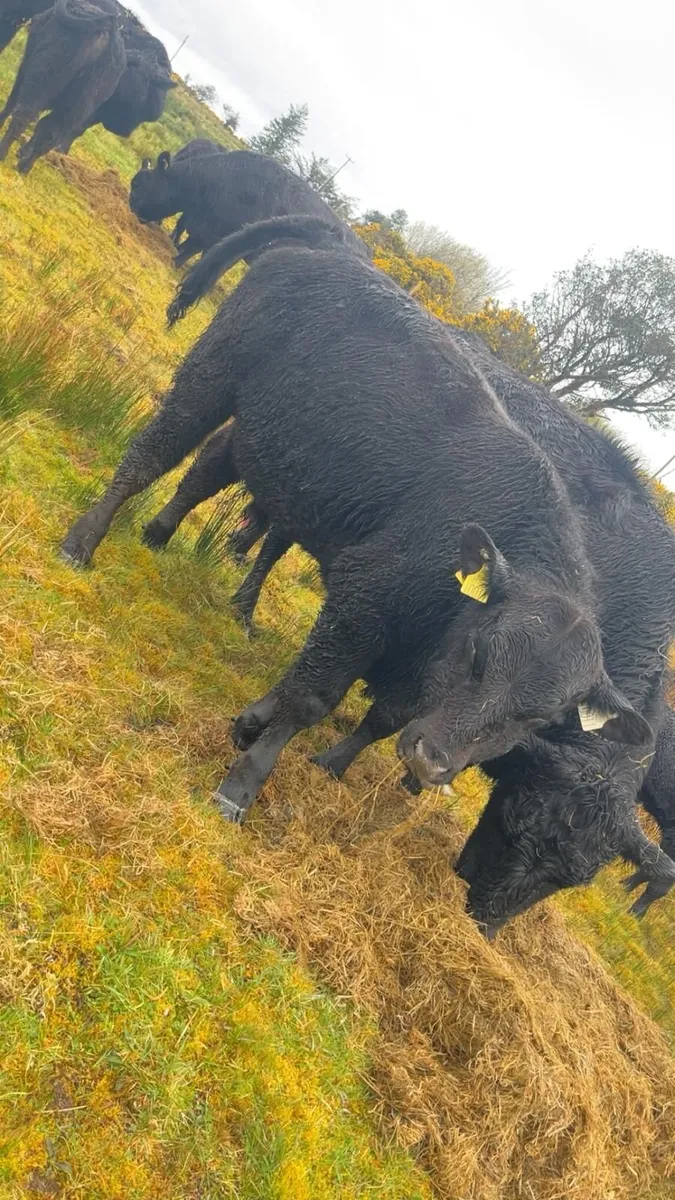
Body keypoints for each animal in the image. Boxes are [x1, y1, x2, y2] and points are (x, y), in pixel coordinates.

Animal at [0, 0, 125, 174]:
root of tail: (107, 27)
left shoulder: (25, 66)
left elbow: (11, 103)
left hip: (41, 79)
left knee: (24, 115)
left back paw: (3, 153)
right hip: (79, 106)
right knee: (51, 133)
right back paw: (24, 167)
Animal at [61, 218, 650, 862]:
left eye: (539, 721)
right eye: (481, 656)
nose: (433, 761)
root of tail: (328, 250)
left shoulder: (403, 658)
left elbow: (373, 713)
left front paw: (276, 736)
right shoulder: (364, 597)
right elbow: (314, 698)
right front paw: (241, 786)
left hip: (262, 431)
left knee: (205, 468)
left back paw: (157, 535)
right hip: (208, 380)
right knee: (149, 457)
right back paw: (82, 543)